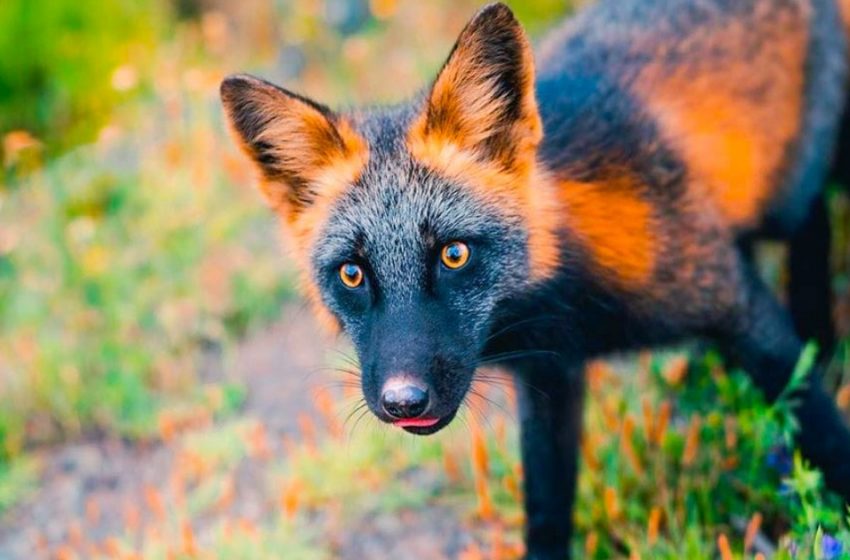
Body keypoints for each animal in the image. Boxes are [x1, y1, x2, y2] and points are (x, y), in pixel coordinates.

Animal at [222, 1, 848, 556]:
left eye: (453, 255)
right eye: (352, 273)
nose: (403, 401)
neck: (569, 304)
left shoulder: (734, 303)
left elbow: (823, 432)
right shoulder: (549, 377)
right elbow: (546, 510)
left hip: (787, 200)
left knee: (813, 222)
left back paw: (819, 333)